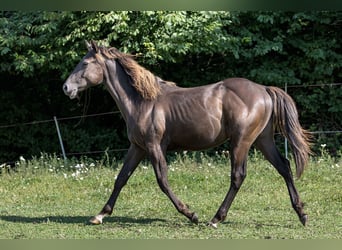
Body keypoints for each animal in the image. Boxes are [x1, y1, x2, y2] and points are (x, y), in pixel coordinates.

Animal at [62, 40, 312, 229]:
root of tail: (264, 90)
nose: (66, 88)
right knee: (284, 167)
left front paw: (191, 214)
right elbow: (121, 178)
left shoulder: (154, 147)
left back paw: (215, 219)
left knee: (238, 176)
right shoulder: (138, 147)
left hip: (241, 142)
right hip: (262, 140)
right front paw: (100, 215)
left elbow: (162, 181)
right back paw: (301, 214)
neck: (142, 102)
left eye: (85, 62)